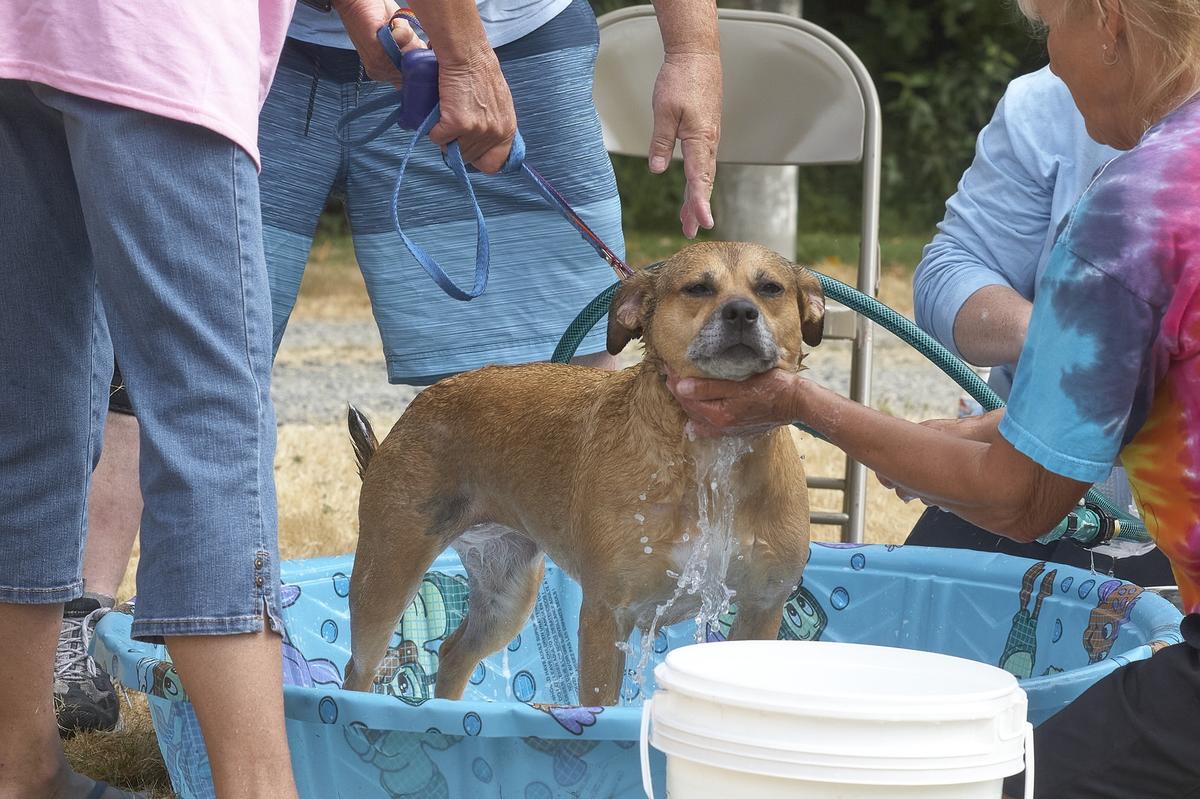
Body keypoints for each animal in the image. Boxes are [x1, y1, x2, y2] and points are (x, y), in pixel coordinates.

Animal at [343, 239, 820, 700]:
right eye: (698, 288)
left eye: (770, 288)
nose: (740, 311)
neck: (710, 458)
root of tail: (419, 405)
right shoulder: (607, 615)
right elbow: (599, 701)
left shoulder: (762, 606)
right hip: (387, 575)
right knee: (360, 669)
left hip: (505, 596)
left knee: (454, 652)